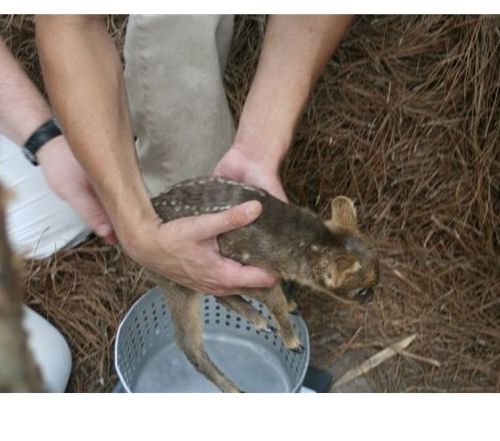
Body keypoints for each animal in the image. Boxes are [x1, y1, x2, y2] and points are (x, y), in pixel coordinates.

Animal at [150, 175, 376, 392]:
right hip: (174, 277)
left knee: (218, 296)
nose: (372, 297)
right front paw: (293, 342)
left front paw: (291, 306)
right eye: (361, 290)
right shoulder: (257, 271)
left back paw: (260, 322)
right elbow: (276, 304)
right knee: (187, 341)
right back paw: (234, 389)